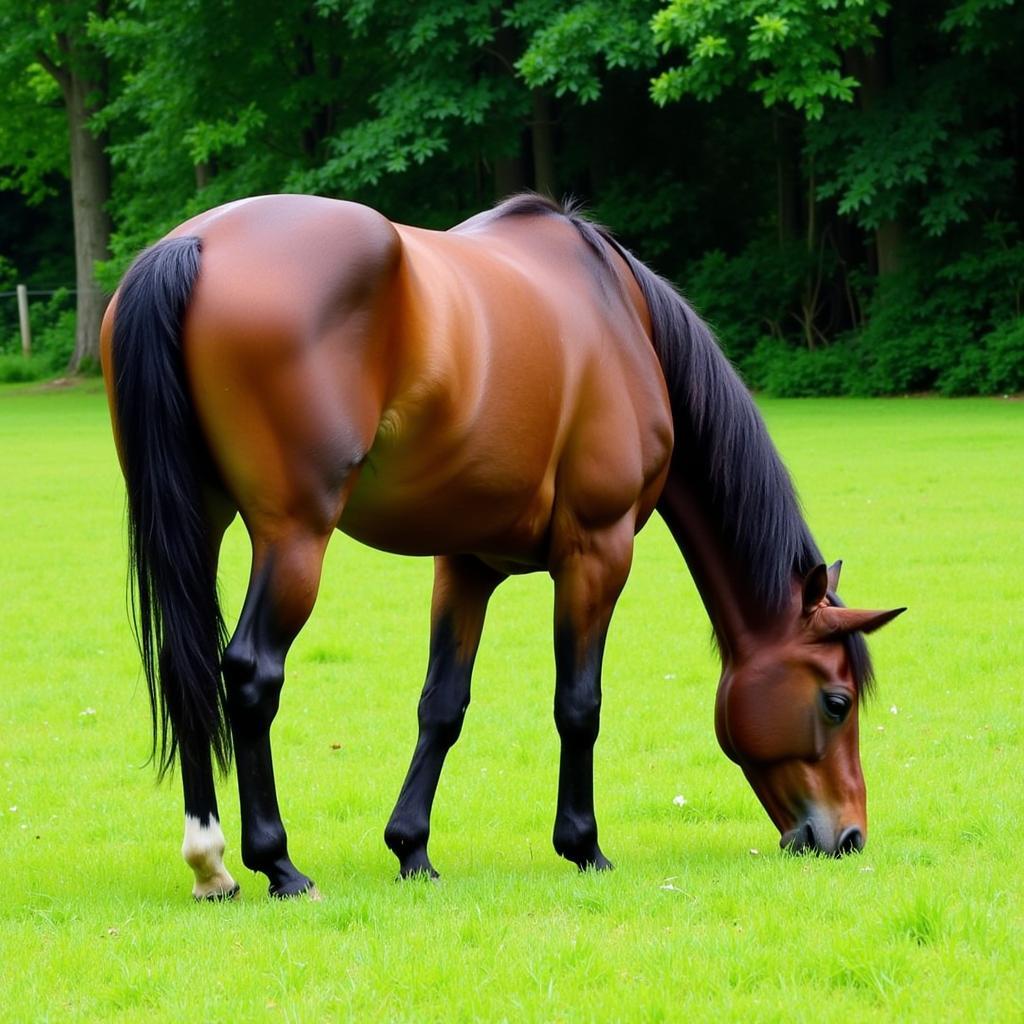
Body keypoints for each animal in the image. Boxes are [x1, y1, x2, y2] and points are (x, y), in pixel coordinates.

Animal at [101, 195, 905, 901]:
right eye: (837, 702)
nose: (848, 837)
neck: (623, 318)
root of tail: (196, 244)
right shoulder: (597, 552)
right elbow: (579, 704)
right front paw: (584, 846)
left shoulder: (467, 563)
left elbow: (442, 705)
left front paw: (412, 850)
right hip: (294, 536)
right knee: (250, 673)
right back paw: (276, 864)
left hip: (201, 522)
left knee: (187, 664)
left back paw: (212, 864)